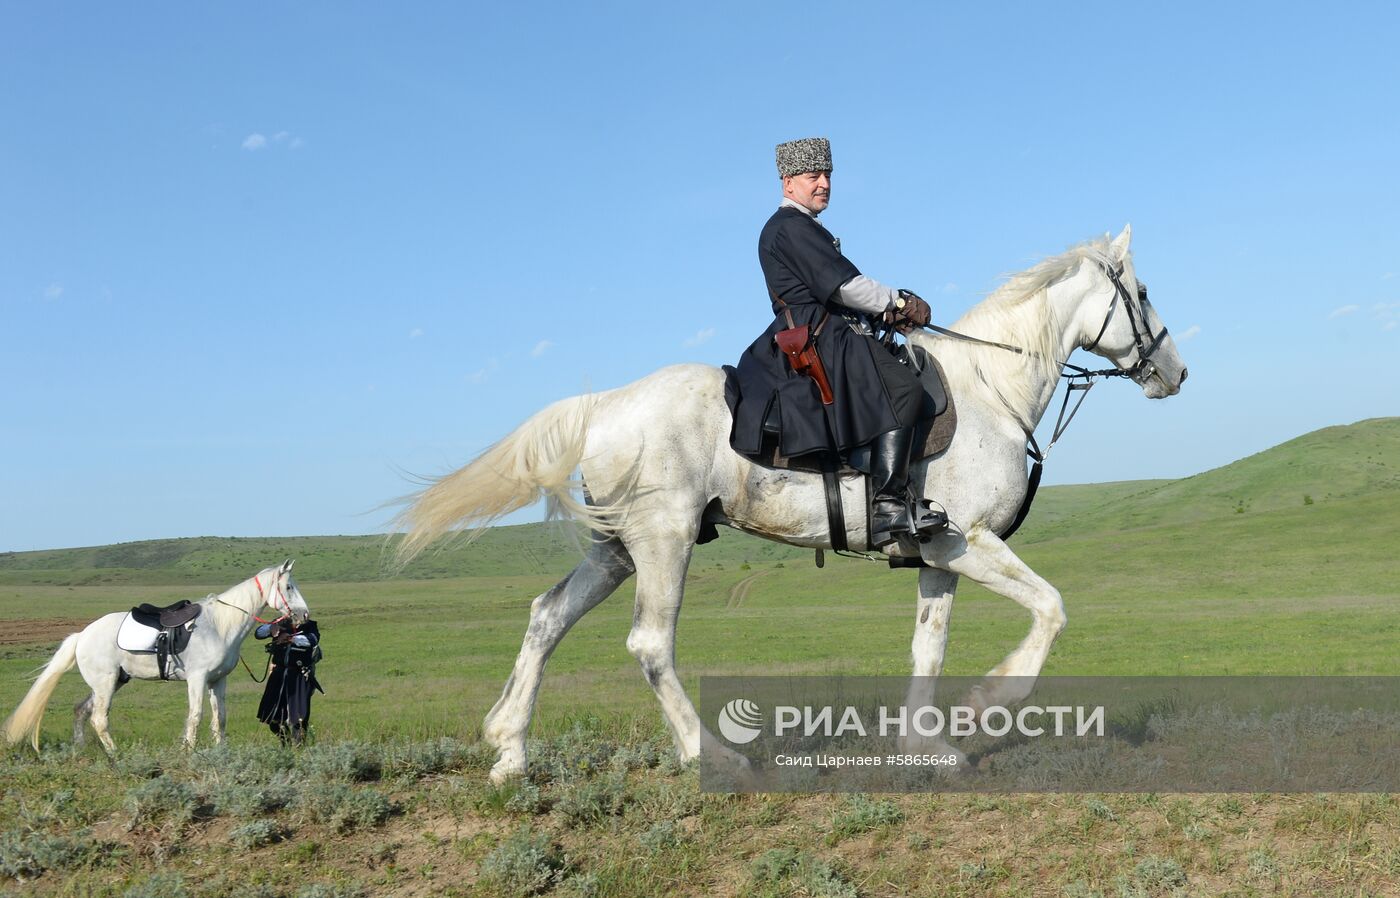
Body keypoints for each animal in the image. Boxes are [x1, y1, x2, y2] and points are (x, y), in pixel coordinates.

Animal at [0, 560, 312, 750]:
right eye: (288, 587)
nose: (303, 615)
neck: (219, 625)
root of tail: (82, 636)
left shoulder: (218, 681)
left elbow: (219, 718)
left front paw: (220, 751)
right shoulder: (197, 679)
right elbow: (195, 716)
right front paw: (189, 751)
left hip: (112, 682)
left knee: (81, 711)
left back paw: (80, 752)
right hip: (105, 683)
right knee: (99, 719)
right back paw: (115, 756)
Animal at [397, 226, 1192, 778]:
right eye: (1145, 292)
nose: (1176, 372)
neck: (989, 389)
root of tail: (605, 405)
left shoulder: (938, 555)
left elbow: (927, 648)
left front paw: (924, 746)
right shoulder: (968, 542)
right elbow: (1050, 609)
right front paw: (982, 706)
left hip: (616, 549)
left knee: (547, 617)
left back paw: (509, 751)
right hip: (662, 541)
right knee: (650, 644)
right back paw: (711, 756)